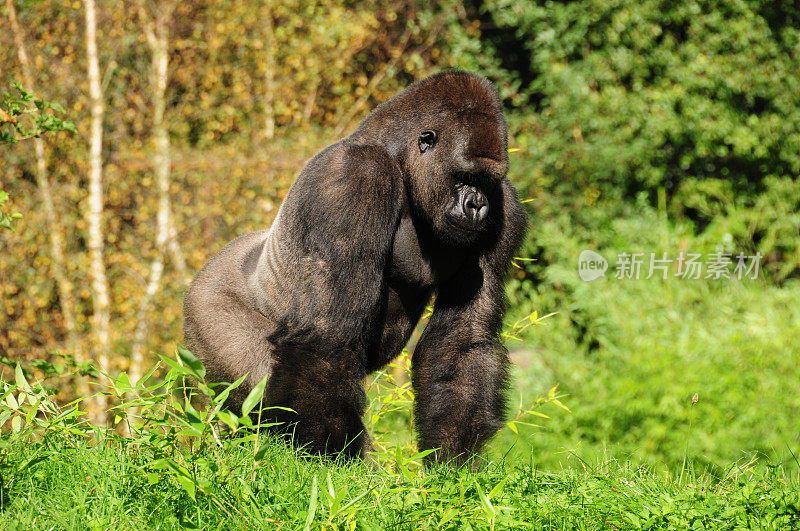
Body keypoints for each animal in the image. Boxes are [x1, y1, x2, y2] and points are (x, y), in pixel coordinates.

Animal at [184, 70, 528, 466]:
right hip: (208, 311)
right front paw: (332, 460)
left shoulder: (507, 208)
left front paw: (451, 462)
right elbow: (327, 335)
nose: (477, 205)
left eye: (486, 181)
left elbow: (463, 340)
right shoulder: (353, 178)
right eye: (463, 176)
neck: (399, 161)